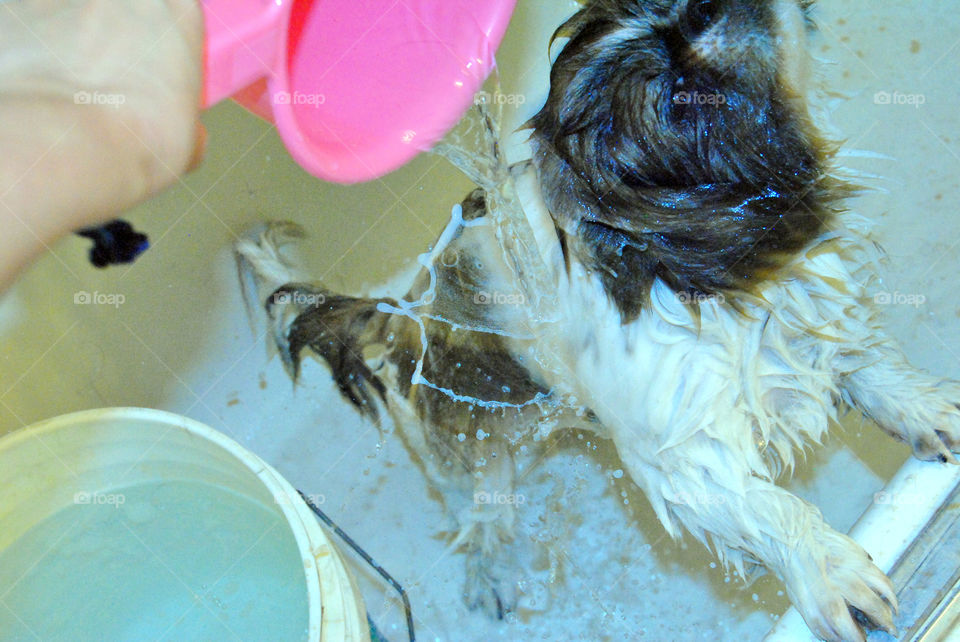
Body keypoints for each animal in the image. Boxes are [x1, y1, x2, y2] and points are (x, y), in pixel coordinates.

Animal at [234, 2, 960, 636]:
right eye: (677, 94)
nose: (700, 10)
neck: (701, 282)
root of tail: (396, 311)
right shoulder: (681, 456)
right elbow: (762, 505)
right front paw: (826, 567)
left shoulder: (812, 312)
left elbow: (872, 369)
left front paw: (929, 410)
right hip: (464, 444)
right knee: (480, 509)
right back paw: (491, 572)